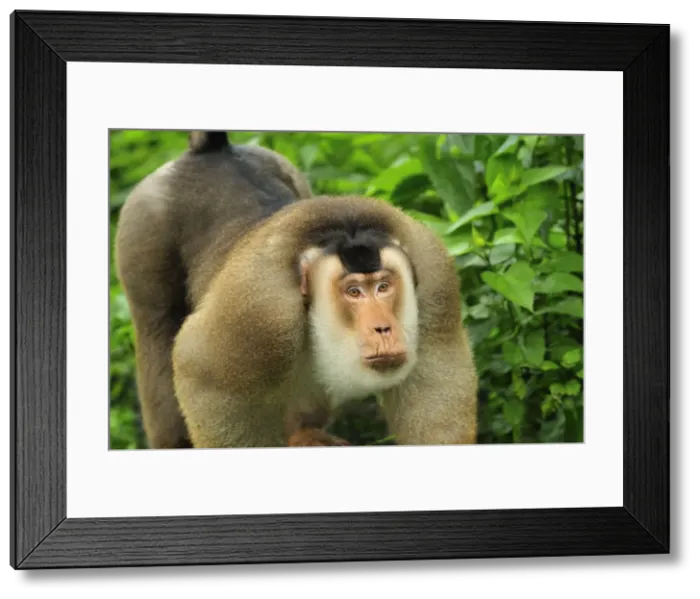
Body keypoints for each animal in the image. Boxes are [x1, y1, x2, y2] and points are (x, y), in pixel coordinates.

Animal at [115, 130, 478, 449]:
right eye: (354, 292)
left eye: (384, 286)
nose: (384, 328)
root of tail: (210, 151)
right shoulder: (259, 311)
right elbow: (199, 370)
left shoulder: (433, 275)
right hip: (143, 222)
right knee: (157, 330)